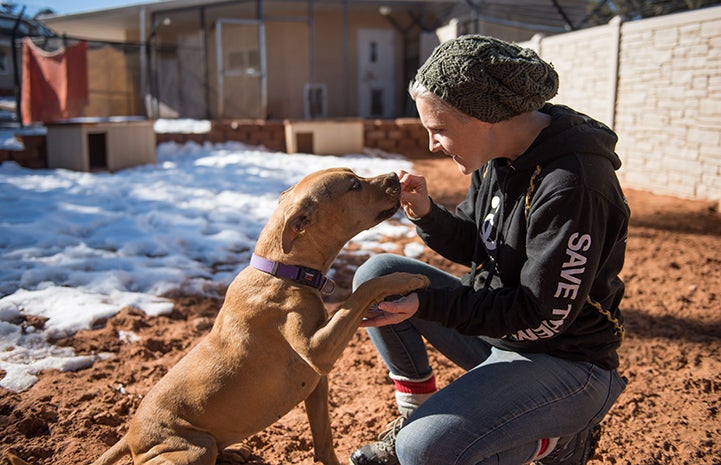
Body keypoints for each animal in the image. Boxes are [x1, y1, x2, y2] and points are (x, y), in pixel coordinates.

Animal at [90, 169, 428, 464]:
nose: (394, 176)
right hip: (192, 449)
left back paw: (233, 451)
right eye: (354, 185)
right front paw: (406, 278)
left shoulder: (317, 384)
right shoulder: (317, 351)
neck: (283, 271)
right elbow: (363, 291)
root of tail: (129, 435)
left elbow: (324, 442)